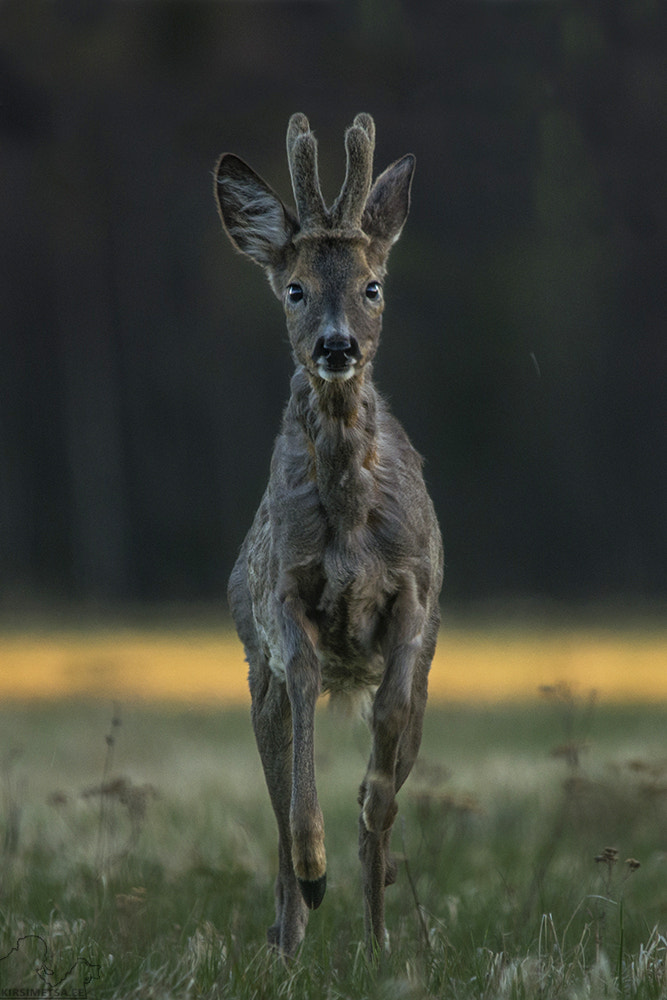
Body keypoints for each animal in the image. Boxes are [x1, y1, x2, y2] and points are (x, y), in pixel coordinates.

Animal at [215, 113, 444, 956]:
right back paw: (289, 929)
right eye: (295, 288)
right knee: (277, 797)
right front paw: (317, 870)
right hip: (253, 669)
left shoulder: (414, 596)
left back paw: (376, 928)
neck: (348, 521)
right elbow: (301, 735)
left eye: (373, 285)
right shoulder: (283, 599)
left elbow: (390, 728)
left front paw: (369, 824)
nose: (336, 345)